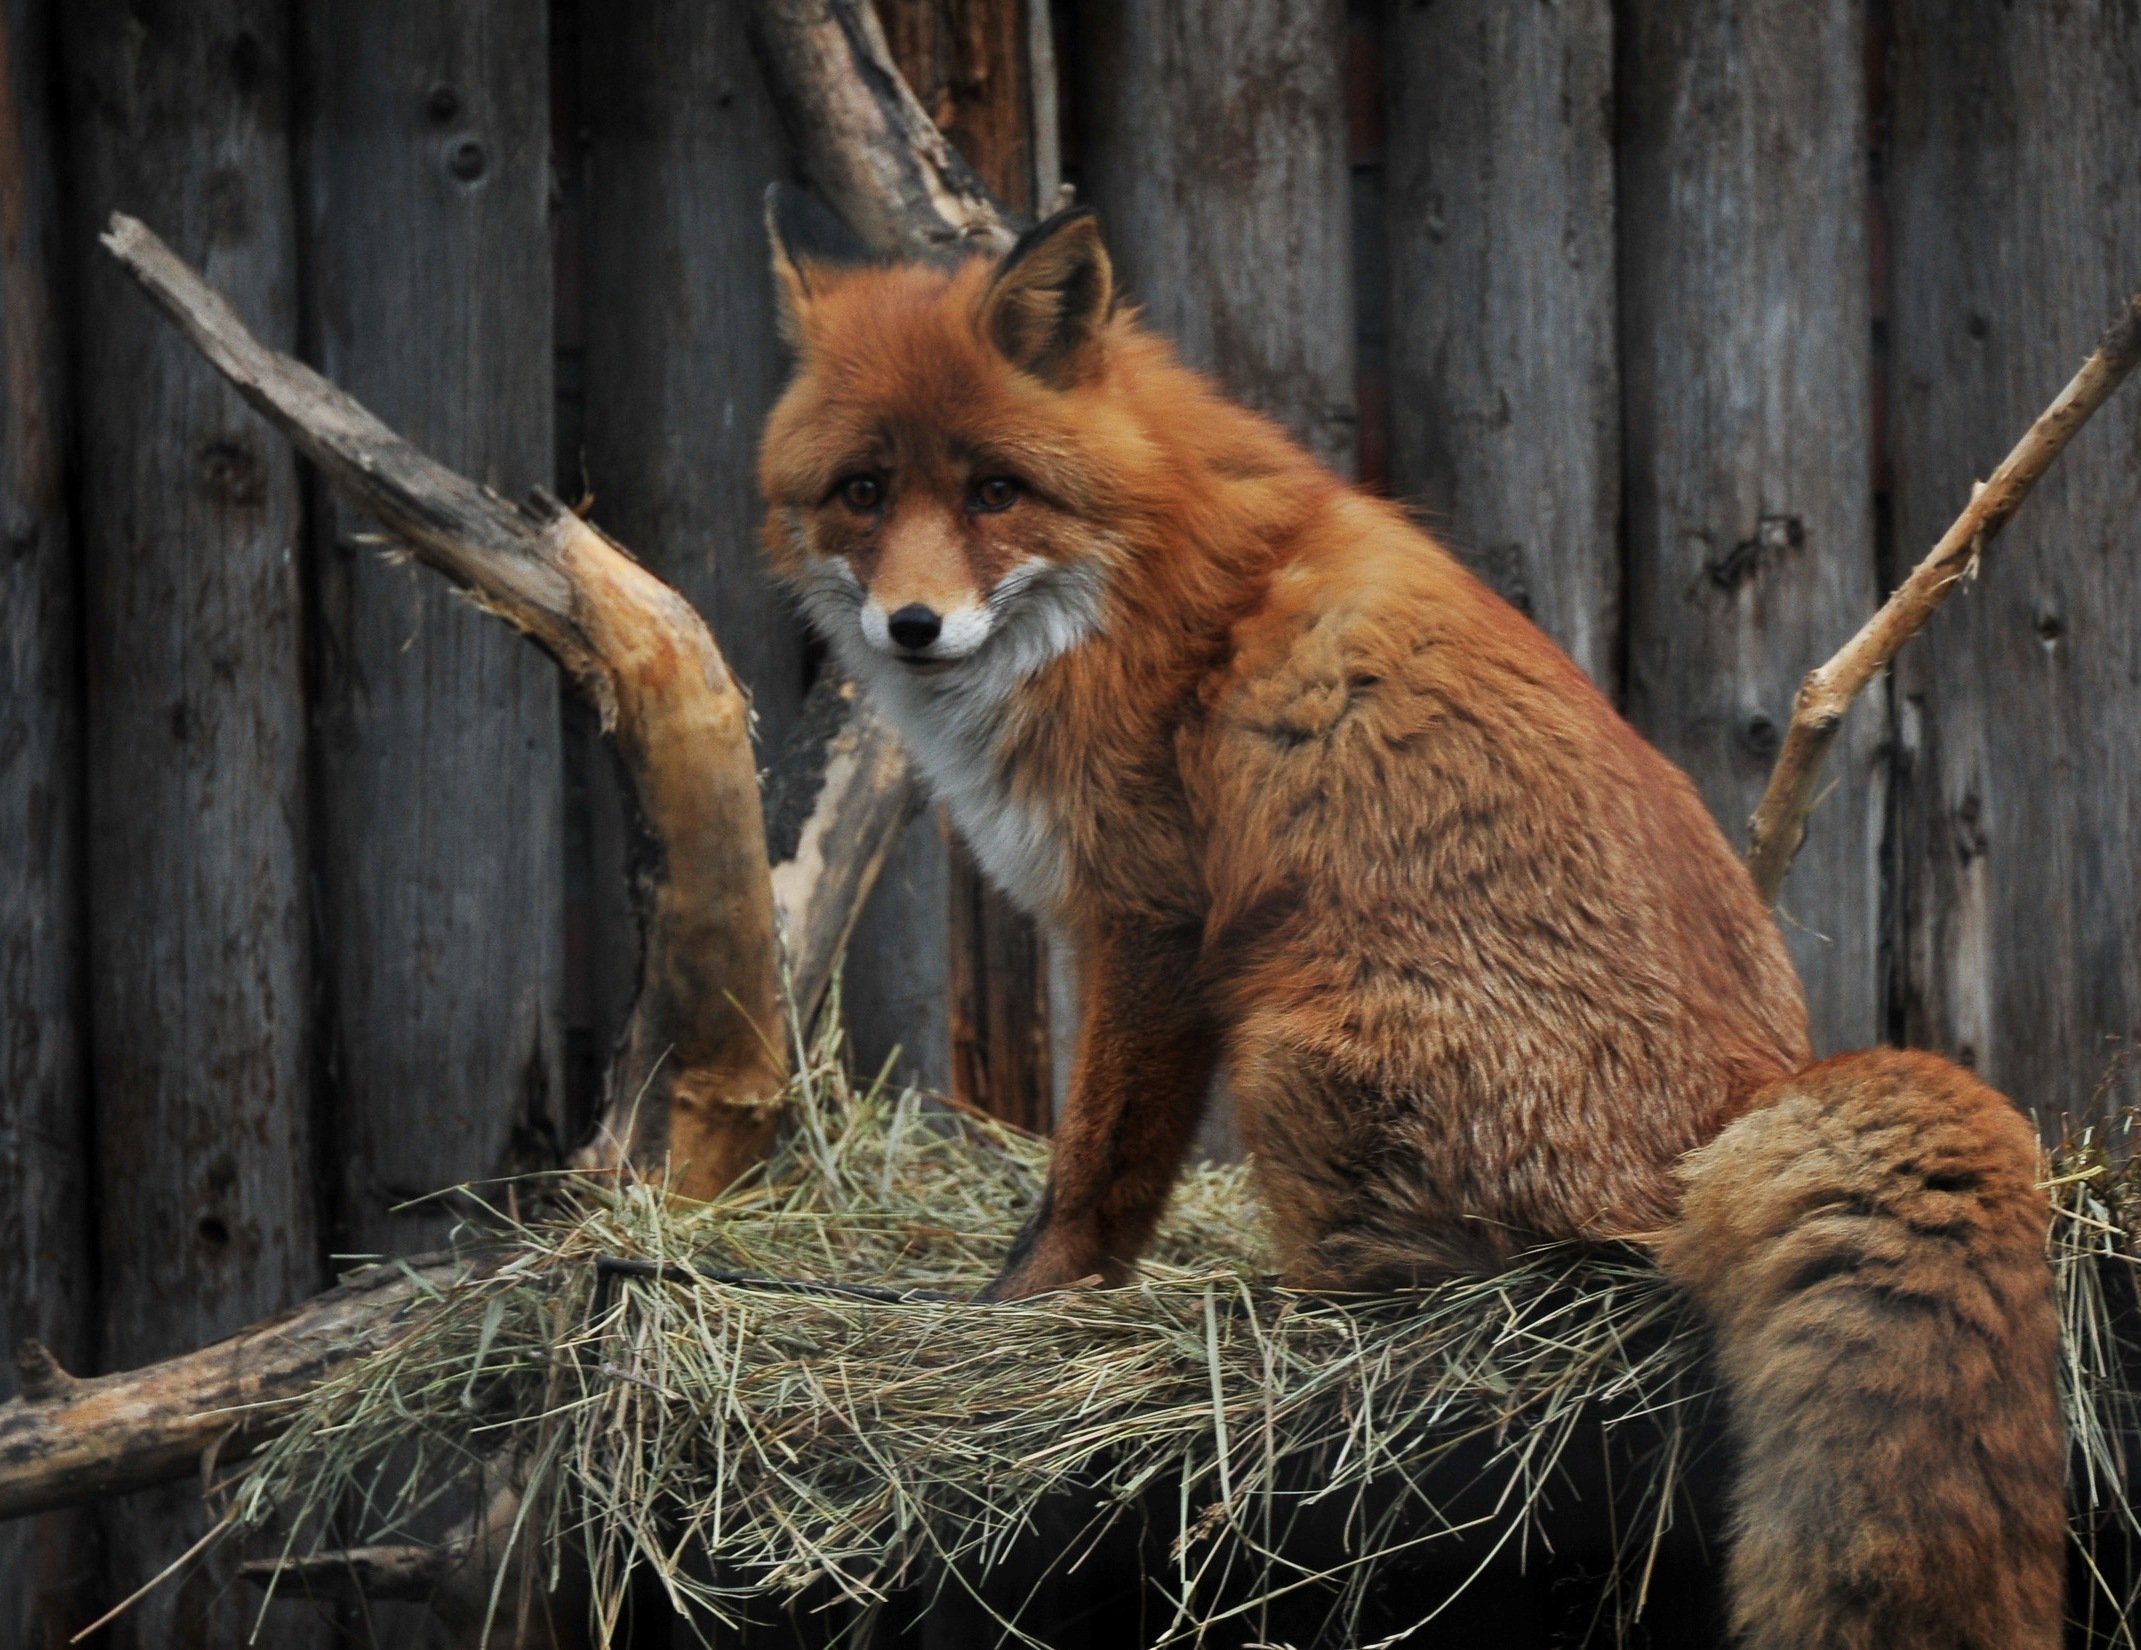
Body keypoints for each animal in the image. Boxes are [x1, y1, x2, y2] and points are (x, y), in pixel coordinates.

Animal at [757, 200, 2072, 1643]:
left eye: (993, 491)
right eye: (862, 491)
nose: (912, 624)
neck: (1119, 577)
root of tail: (1742, 1107)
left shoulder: (1146, 921)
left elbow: (1094, 1168)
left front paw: (1027, 1313)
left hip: (1288, 1051)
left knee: (1404, 1298)